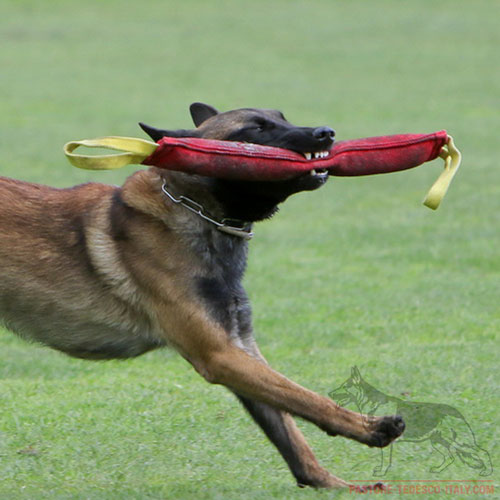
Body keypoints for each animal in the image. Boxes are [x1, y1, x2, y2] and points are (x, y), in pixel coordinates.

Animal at [0, 101, 404, 488]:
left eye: (282, 117)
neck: (197, 212)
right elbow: (307, 398)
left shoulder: (240, 347)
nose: (326, 133)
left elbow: (289, 431)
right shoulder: (219, 355)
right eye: (255, 129)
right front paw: (372, 427)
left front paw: (332, 484)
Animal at [330, 368, 490, 476]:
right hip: (437, 441)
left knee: (482, 451)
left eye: (344, 386)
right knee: (450, 457)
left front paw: (381, 472)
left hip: (459, 442)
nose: (329, 393)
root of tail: (456, 411)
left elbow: (385, 460)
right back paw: (438, 470)